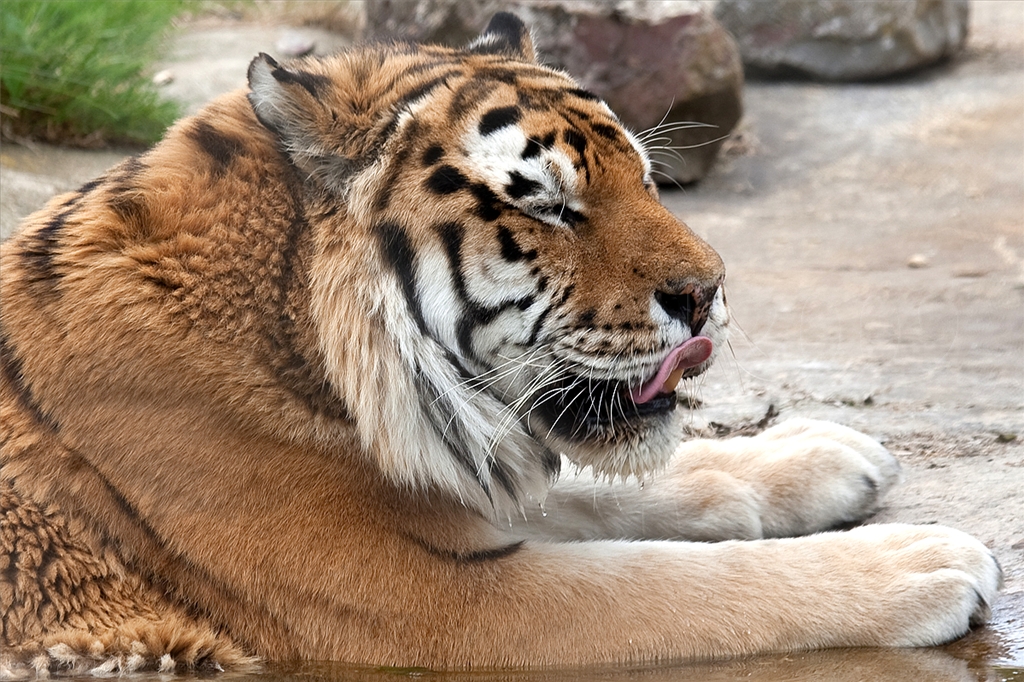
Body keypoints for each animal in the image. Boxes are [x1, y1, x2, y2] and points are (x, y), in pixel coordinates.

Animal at [0, 12, 1000, 675]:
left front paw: (824, 453)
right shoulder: (437, 596)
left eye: (644, 177)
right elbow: (680, 582)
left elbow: (610, 491)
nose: (708, 294)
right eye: (549, 206)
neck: (296, 354)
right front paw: (926, 561)